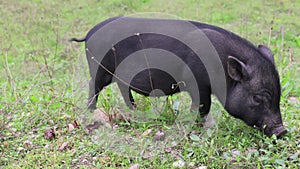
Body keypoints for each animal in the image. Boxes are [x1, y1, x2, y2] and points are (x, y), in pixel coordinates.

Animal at [69, 16, 286, 137]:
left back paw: (135, 109)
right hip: (100, 69)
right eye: (257, 98)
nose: (283, 131)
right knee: (93, 85)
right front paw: (204, 126)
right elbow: (203, 105)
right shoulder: (198, 83)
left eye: (279, 95)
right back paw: (91, 111)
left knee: (122, 89)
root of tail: (89, 33)